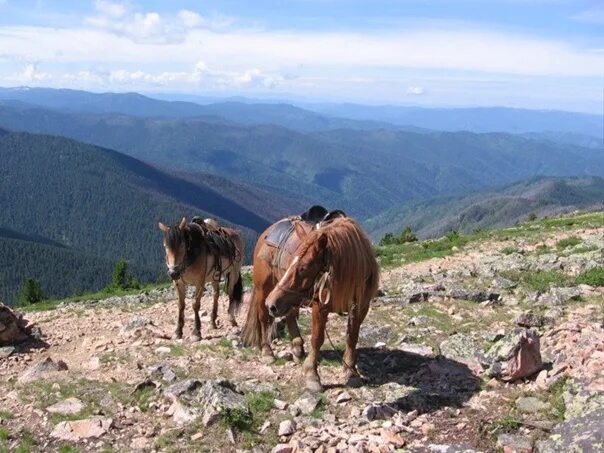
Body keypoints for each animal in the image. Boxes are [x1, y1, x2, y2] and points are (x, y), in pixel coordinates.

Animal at [264, 217, 378, 390]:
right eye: (291, 263)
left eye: (304, 268)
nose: (271, 304)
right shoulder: (320, 307)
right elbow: (317, 338)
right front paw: (312, 375)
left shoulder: (361, 307)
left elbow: (352, 337)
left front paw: (351, 372)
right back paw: (267, 352)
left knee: (290, 316)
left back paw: (297, 350)